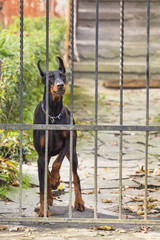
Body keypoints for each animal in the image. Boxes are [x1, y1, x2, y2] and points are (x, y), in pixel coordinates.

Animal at [33, 57, 84, 217]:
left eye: (62, 75)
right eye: (50, 77)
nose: (61, 85)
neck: (54, 114)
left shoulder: (67, 142)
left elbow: (57, 163)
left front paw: (56, 179)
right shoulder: (41, 154)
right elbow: (43, 183)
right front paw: (43, 210)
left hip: (72, 153)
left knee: (76, 177)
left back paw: (79, 202)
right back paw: (49, 197)